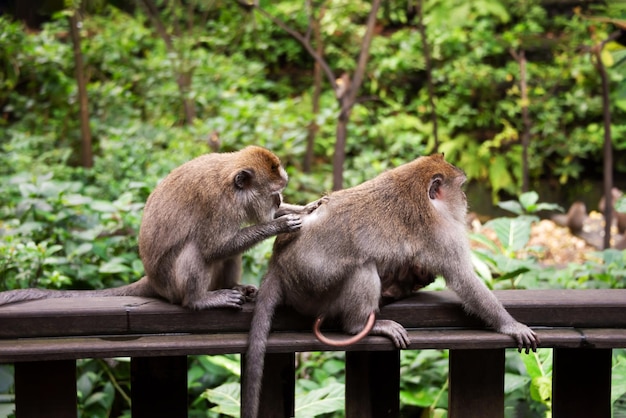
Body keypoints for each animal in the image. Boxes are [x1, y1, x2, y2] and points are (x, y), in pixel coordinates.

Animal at [0, 145, 316, 308]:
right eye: (274, 192)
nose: (279, 201)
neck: (229, 182)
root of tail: (151, 280)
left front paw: (306, 208)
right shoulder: (218, 205)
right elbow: (213, 247)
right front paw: (280, 224)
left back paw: (233, 287)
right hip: (171, 285)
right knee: (196, 252)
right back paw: (199, 301)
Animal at [241, 153, 540, 418]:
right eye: (461, 187)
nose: (466, 200)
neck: (416, 189)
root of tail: (277, 266)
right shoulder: (441, 234)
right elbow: (464, 280)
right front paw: (511, 325)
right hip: (312, 290)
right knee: (363, 268)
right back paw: (360, 325)